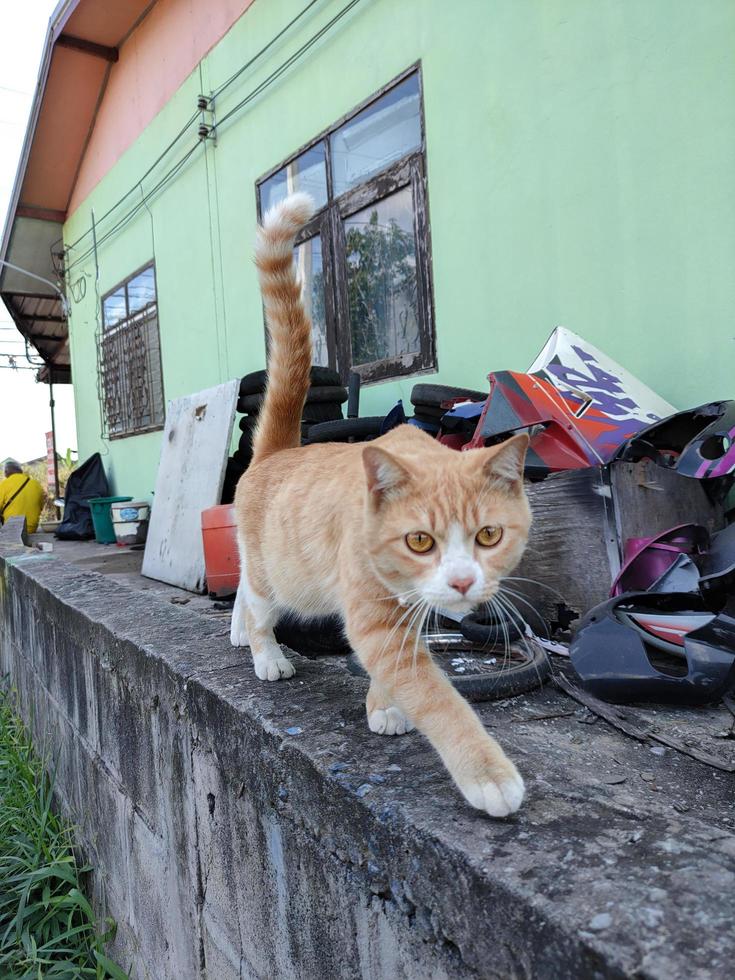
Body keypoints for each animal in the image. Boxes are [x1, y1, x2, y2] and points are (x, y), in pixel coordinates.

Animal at [233, 193, 532, 820]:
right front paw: (486, 772)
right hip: (279, 577)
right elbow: (436, 697)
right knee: (255, 600)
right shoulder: (374, 616)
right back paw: (262, 652)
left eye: (489, 536)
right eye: (420, 540)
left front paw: (384, 704)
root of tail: (280, 452)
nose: (463, 583)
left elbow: (396, 668)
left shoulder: (403, 614)